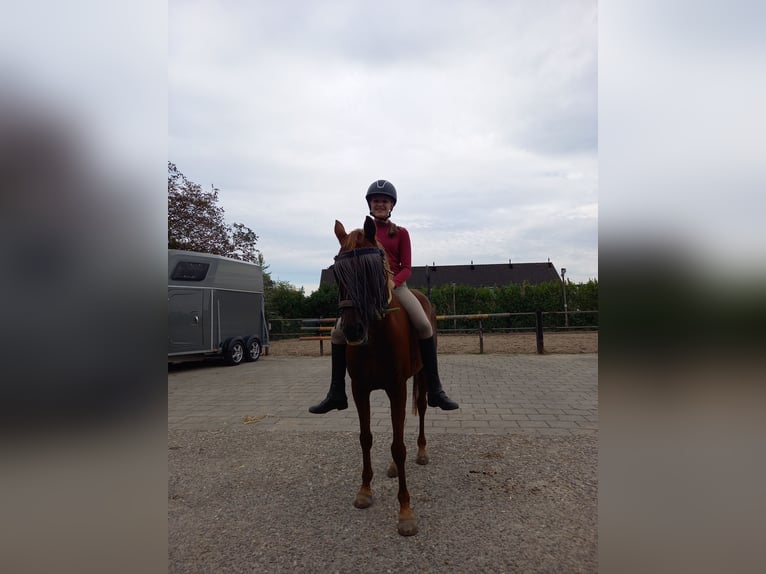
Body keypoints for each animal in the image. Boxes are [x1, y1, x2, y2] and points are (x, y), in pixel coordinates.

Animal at [332, 216, 435, 537]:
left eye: (373, 269)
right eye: (337, 272)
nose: (353, 330)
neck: (375, 337)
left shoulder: (397, 388)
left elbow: (399, 447)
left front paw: (405, 512)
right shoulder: (360, 389)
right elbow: (366, 438)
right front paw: (365, 491)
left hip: (421, 375)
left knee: (422, 409)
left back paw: (422, 452)